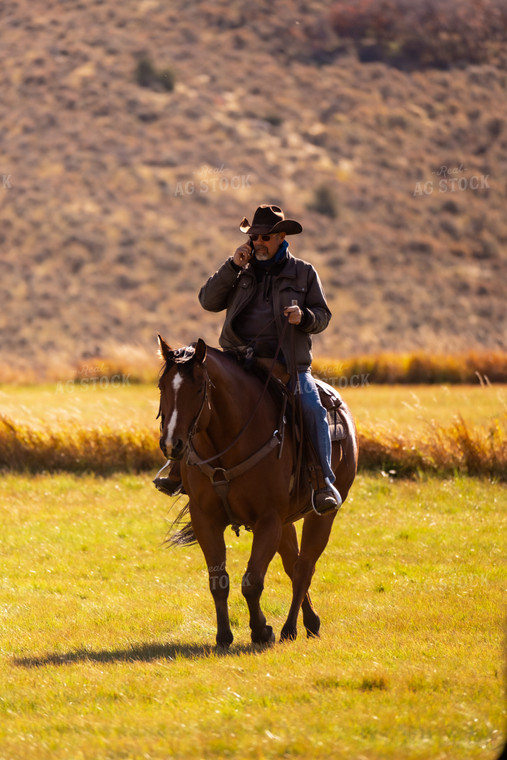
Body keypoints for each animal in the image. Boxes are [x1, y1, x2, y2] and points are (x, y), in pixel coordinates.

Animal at [157, 338, 360, 648]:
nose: (171, 444)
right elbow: (219, 582)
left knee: (304, 568)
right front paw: (223, 636)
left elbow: (252, 581)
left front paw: (262, 631)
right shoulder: (205, 520)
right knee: (293, 564)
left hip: (322, 515)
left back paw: (290, 628)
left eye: (199, 388)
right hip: (287, 522)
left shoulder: (268, 520)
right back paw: (310, 621)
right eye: (162, 386)